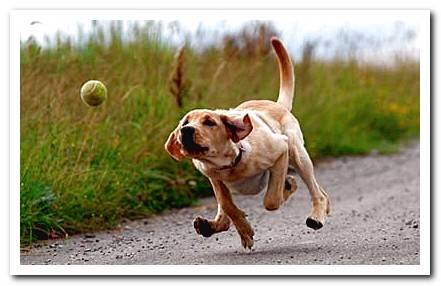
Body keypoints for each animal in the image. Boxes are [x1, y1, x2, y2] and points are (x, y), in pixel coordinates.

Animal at [166, 38, 330, 248]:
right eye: (185, 123)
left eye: (209, 122)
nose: (186, 131)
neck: (233, 160)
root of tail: (277, 104)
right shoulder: (213, 177)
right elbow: (227, 204)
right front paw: (244, 231)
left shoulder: (281, 149)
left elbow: (271, 200)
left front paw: (284, 190)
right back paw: (210, 226)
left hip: (298, 155)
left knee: (318, 193)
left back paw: (316, 214)